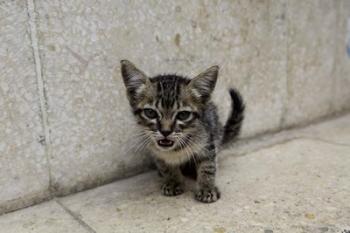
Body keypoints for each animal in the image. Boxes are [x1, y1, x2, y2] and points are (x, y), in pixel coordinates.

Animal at [119, 59, 243, 202]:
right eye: (150, 113)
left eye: (183, 115)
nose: (165, 131)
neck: (175, 149)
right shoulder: (156, 151)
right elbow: (166, 167)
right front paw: (173, 181)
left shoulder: (207, 142)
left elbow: (208, 166)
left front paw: (207, 187)